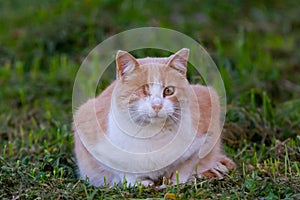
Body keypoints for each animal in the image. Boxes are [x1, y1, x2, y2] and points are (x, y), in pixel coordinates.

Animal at [72, 48, 234, 186]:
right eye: (143, 90)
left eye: (168, 91)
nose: (157, 105)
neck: (154, 134)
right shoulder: (90, 136)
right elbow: (125, 171)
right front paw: (139, 183)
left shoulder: (204, 135)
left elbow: (186, 166)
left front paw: (176, 181)